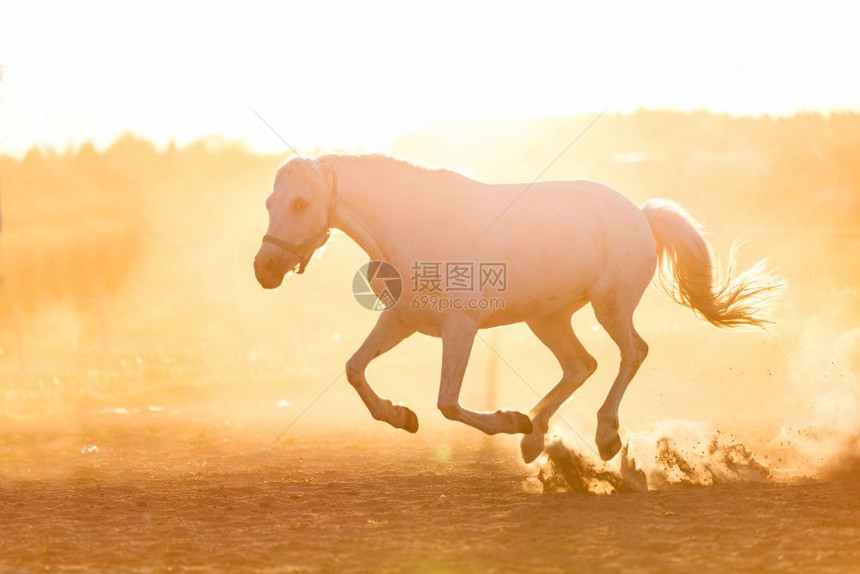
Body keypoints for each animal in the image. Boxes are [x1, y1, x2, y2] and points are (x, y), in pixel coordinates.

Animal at [254, 155, 780, 466]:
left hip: (610, 307)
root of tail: (639, 213)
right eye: (270, 202)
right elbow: (355, 370)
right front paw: (400, 416)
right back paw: (534, 438)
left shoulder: (460, 327)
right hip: (546, 317)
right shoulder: (401, 320)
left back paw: (604, 436)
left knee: (632, 353)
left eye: (301, 202)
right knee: (580, 365)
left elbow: (448, 403)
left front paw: (506, 421)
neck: (412, 227)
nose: (265, 269)